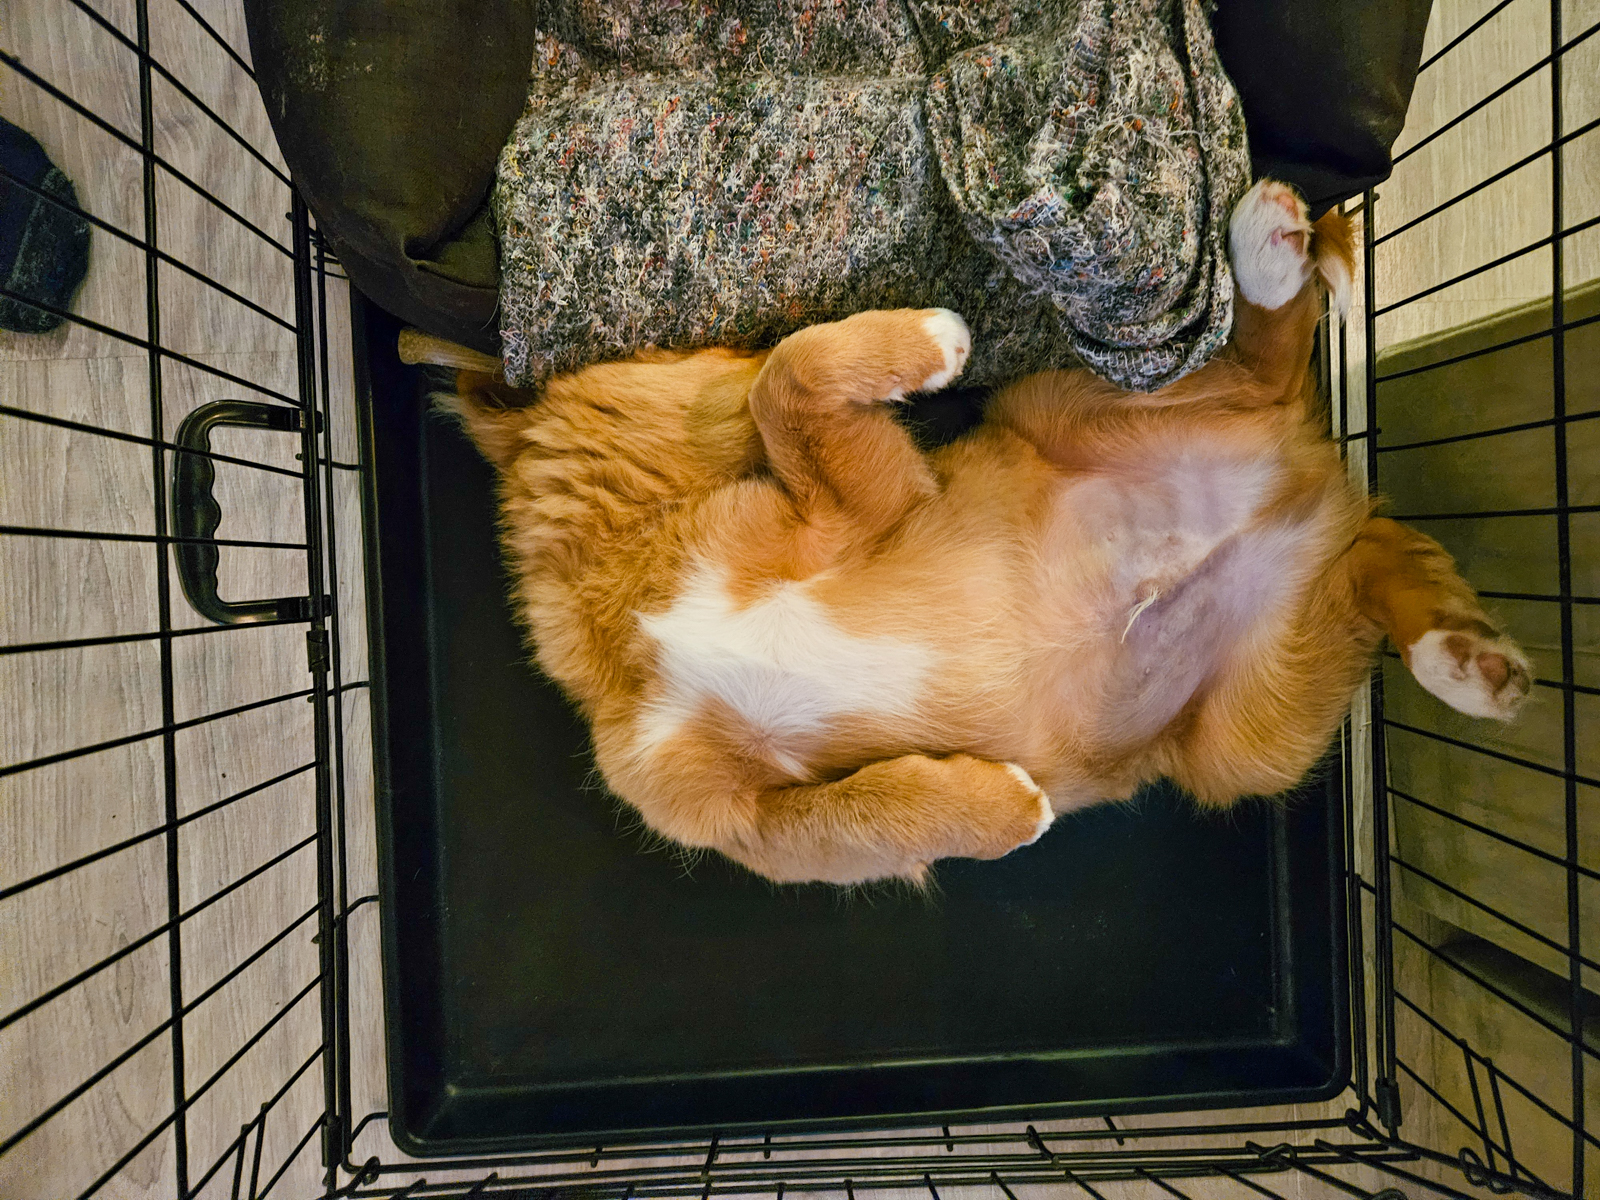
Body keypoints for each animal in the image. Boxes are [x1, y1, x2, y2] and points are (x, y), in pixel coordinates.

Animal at [440, 179, 1532, 886]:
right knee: (1368, 557)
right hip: (1248, 735)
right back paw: (1465, 660)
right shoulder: (758, 826)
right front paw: (1010, 811)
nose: (755, 317)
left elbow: (788, 380)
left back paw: (1263, 255)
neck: (635, 603)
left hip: (1058, 400)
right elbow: (873, 817)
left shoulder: (880, 497)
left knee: (1264, 371)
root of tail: (1308, 481)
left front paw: (925, 339)